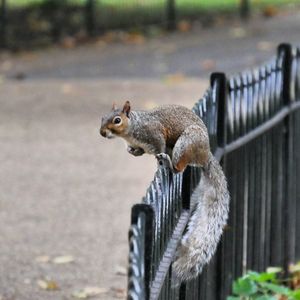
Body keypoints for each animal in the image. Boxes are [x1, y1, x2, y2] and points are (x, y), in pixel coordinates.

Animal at [100, 102, 230, 282]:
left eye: (117, 120)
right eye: (102, 117)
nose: (102, 132)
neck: (132, 130)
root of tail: (205, 156)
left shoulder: (155, 135)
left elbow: (158, 146)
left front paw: (158, 162)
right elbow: (139, 151)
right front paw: (132, 151)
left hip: (185, 144)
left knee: (179, 167)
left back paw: (168, 163)